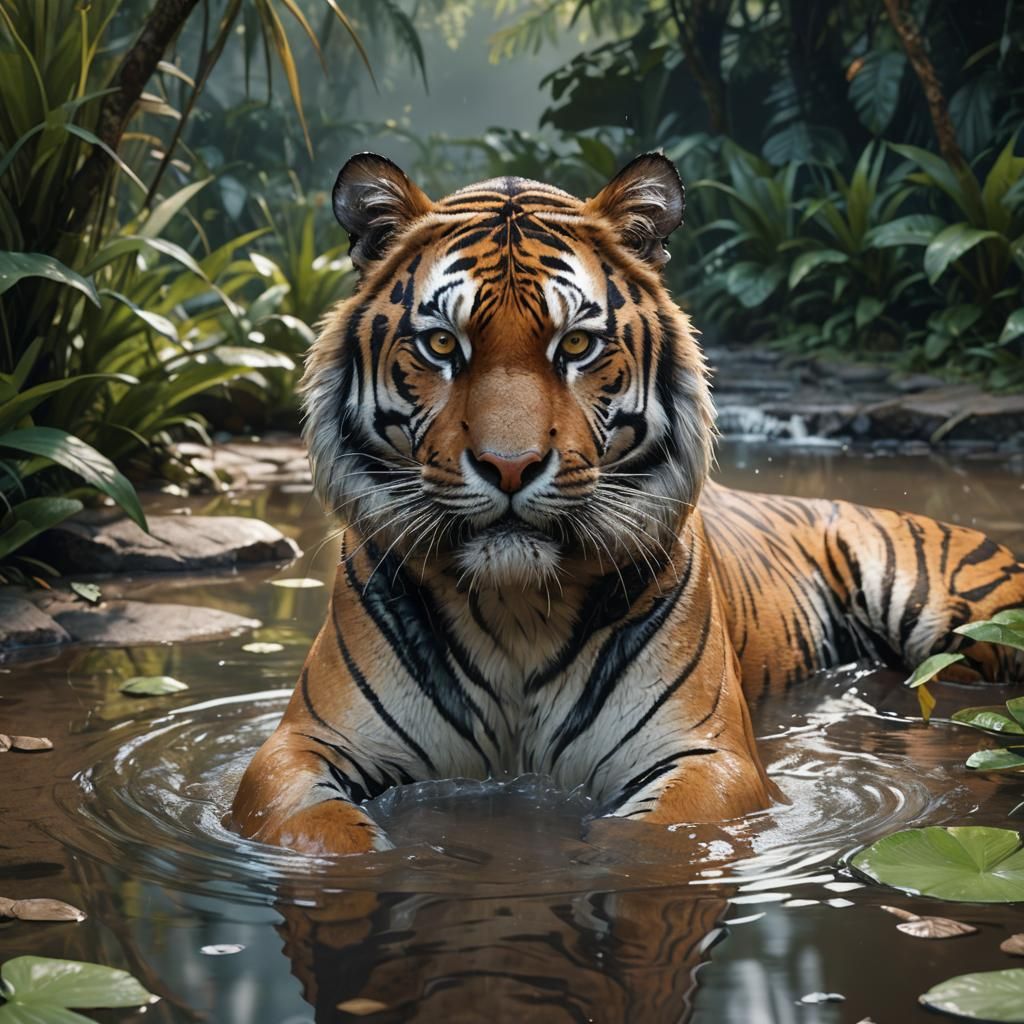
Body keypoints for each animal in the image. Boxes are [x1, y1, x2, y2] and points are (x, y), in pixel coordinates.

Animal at [232, 151, 1024, 856]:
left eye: (577, 344)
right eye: (441, 345)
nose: (510, 466)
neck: (514, 610)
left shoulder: (706, 756)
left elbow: (644, 848)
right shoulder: (300, 746)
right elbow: (323, 839)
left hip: (966, 630)